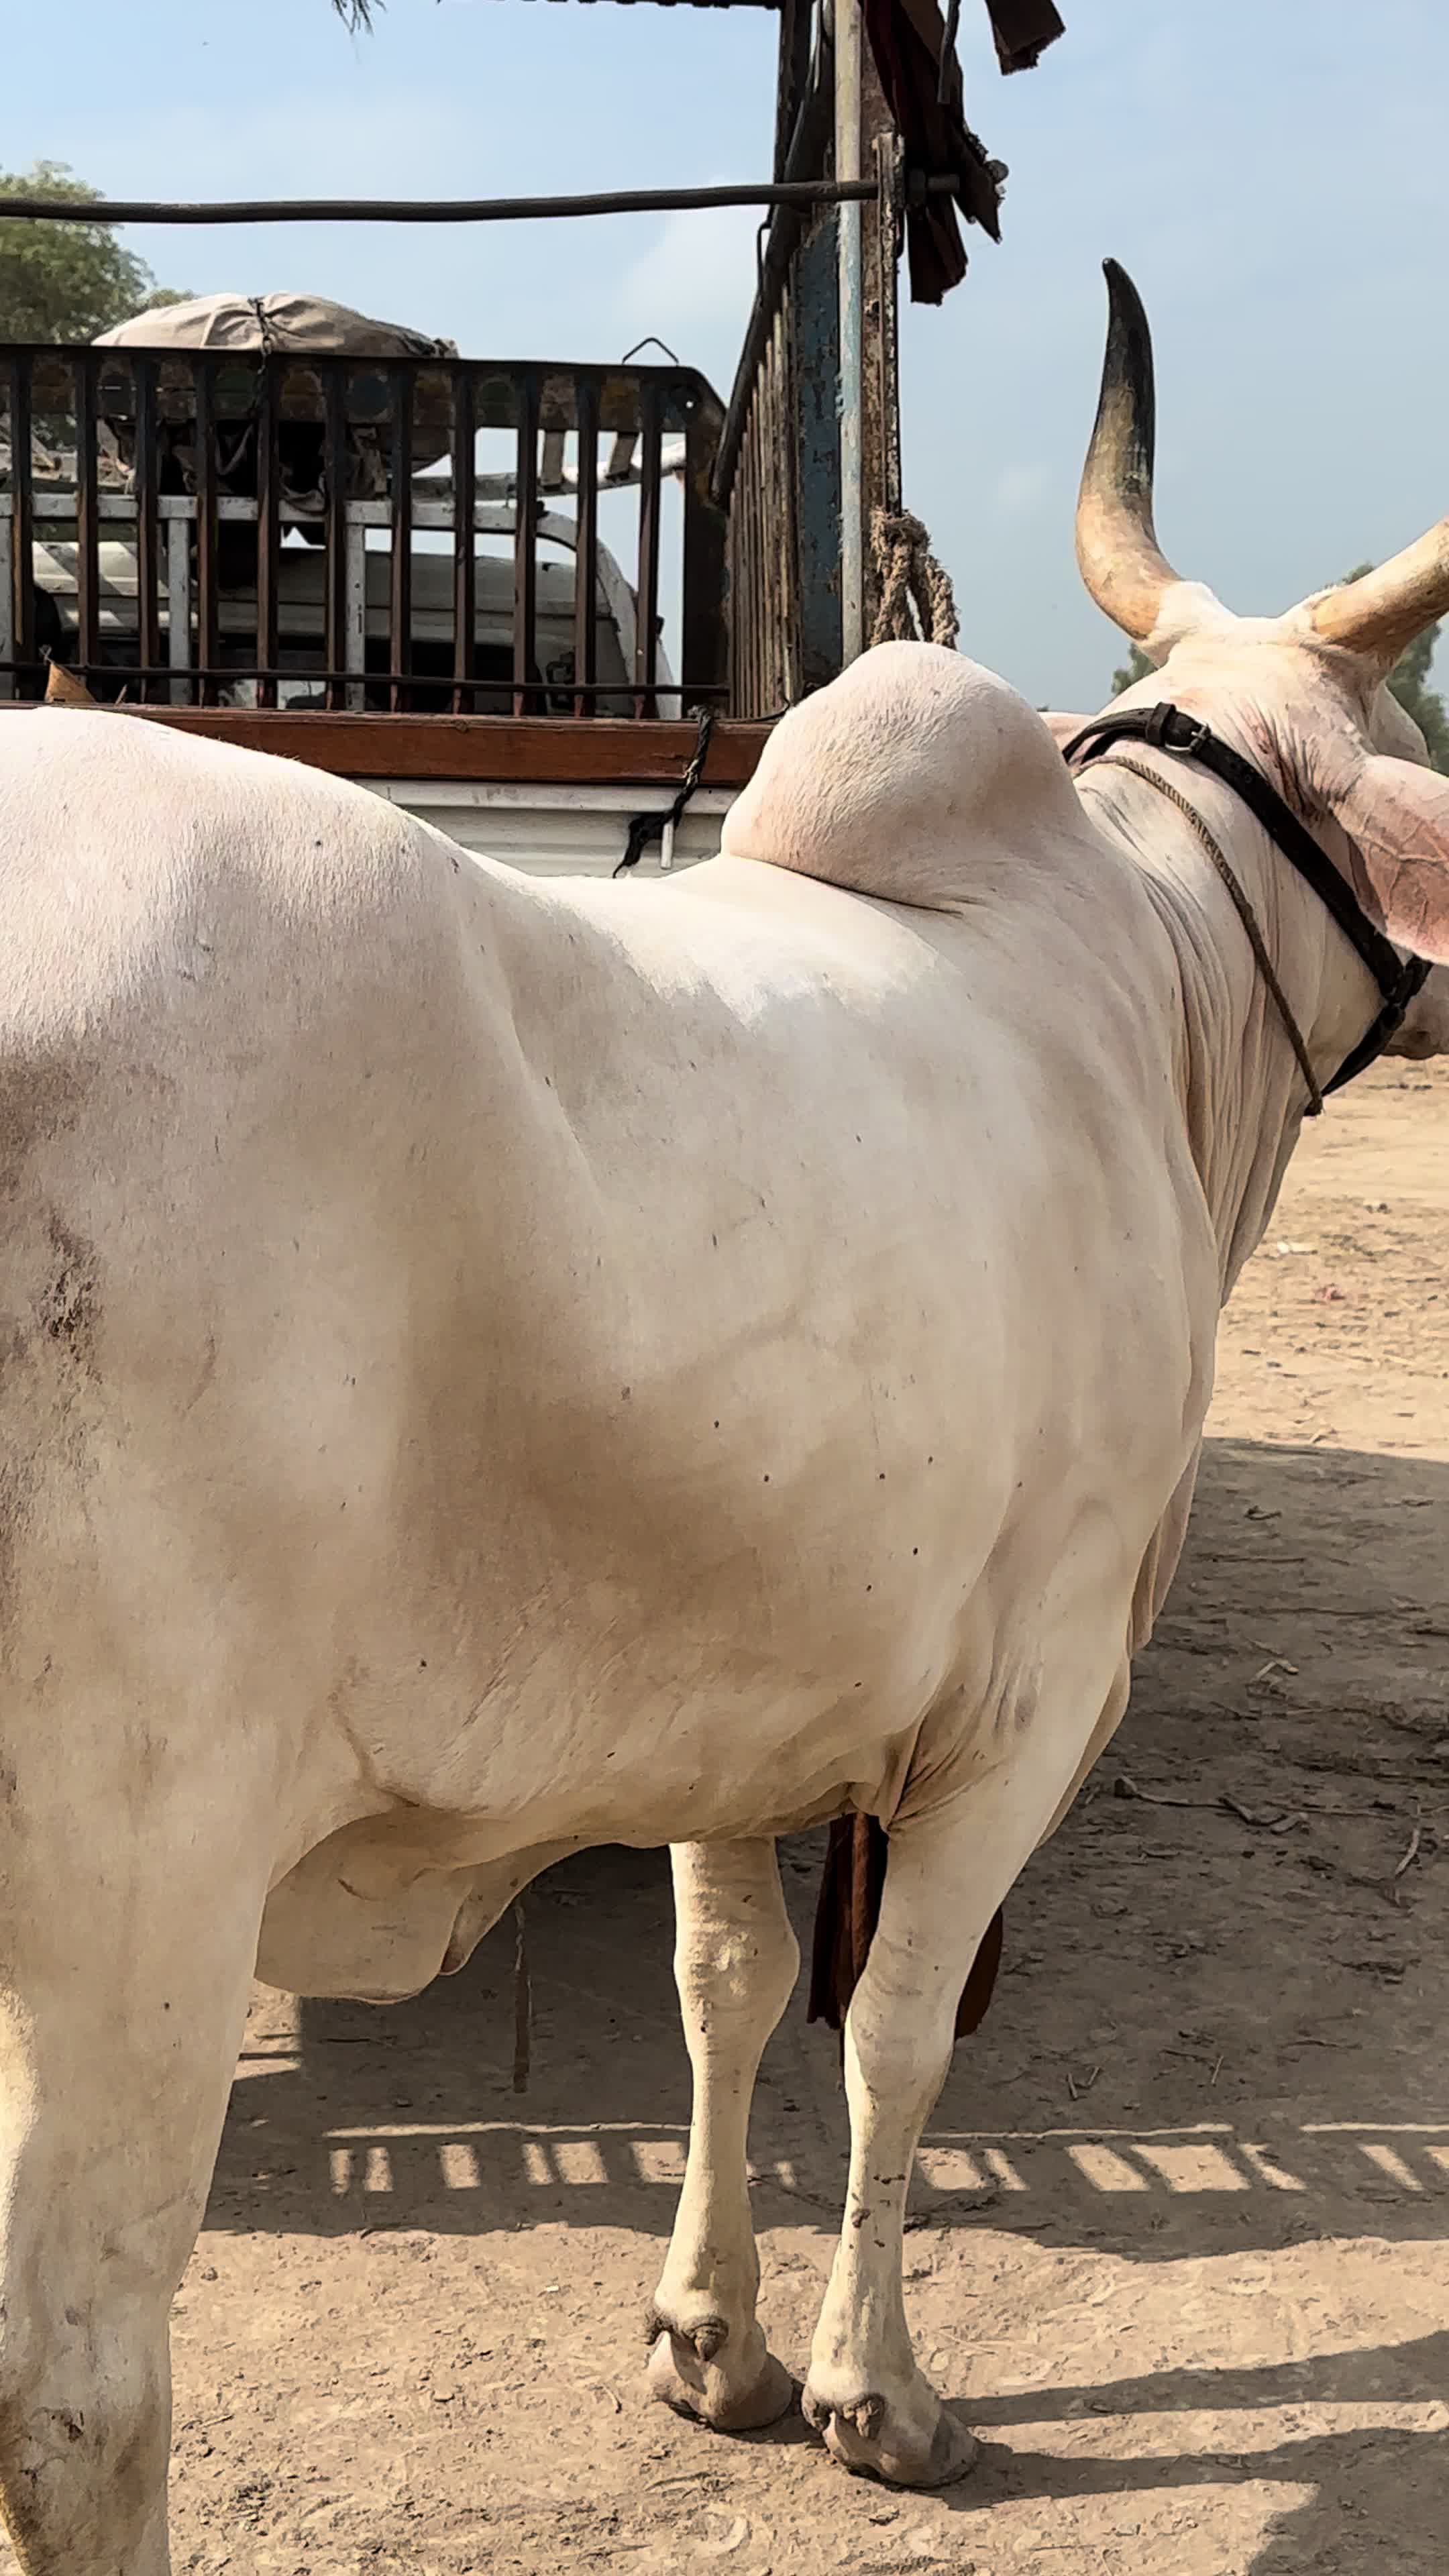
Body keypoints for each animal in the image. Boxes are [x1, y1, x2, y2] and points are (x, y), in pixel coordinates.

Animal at [3, 261, 1449, 2570]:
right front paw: (880, 2390)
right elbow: (897, 2041)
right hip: (135, 1869)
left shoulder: (734, 1691)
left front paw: (714, 2334)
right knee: (78, 2389)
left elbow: (728, 1987)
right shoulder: (1028, 1706)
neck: (1147, 980)